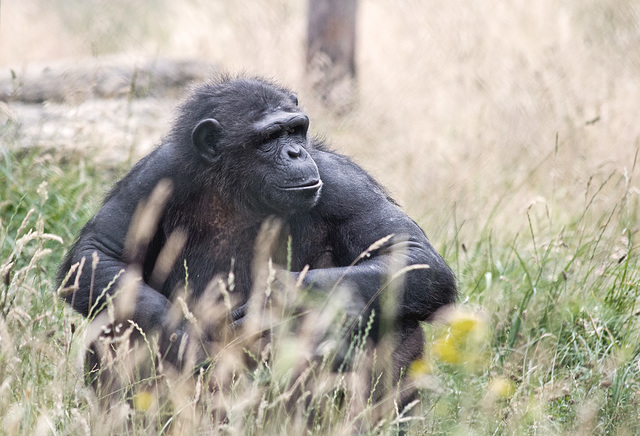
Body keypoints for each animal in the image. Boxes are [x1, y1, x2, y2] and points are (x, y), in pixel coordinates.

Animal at [55, 76, 456, 384]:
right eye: (269, 137)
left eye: (296, 129)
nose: (296, 153)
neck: (239, 186)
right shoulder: (155, 175)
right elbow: (96, 254)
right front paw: (180, 333)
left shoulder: (342, 181)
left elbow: (413, 257)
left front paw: (274, 299)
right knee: (118, 316)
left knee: (393, 314)